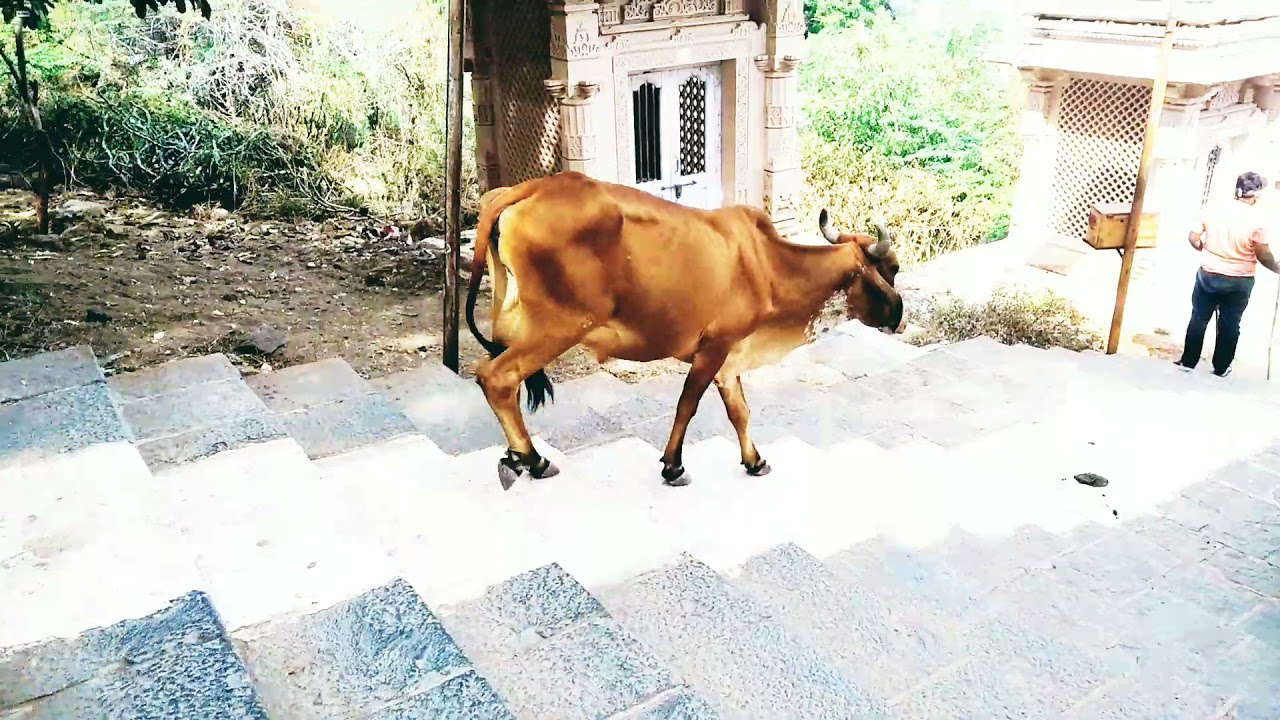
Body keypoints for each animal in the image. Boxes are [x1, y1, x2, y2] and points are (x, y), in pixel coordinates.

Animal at [465, 171, 904, 490]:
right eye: (893, 268)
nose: (898, 317)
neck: (769, 266)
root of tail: (531, 187)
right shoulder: (714, 347)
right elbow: (687, 405)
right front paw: (673, 465)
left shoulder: (730, 358)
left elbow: (740, 412)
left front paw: (754, 460)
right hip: (562, 325)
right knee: (497, 378)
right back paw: (534, 459)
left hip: (512, 322)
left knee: (506, 384)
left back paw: (517, 457)